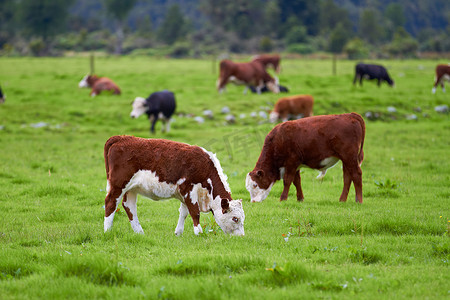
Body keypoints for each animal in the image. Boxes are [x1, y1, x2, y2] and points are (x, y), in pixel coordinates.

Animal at [103, 135, 246, 236]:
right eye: (235, 218)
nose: (241, 236)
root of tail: (122, 137)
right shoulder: (188, 189)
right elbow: (194, 212)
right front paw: (199, 232)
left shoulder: (184, 194)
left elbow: (184, 212)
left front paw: (178, 232)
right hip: (119, 184)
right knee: (111, 203)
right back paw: (107, 231)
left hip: (132, 188)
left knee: (129, 206)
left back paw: (139, 232)